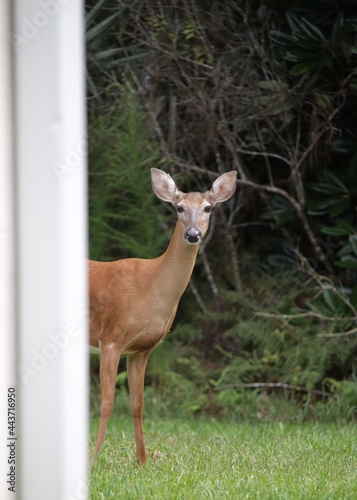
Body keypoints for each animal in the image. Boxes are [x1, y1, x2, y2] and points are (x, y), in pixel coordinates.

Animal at [88, 168, 236, 464]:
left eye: (208, 208)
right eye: (179, 207)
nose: (192, 234)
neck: (151, 286)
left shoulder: (141, 349)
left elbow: (137, 404)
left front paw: (142, 461)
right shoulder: (111, 338)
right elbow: (107, 403)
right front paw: (93, 459)